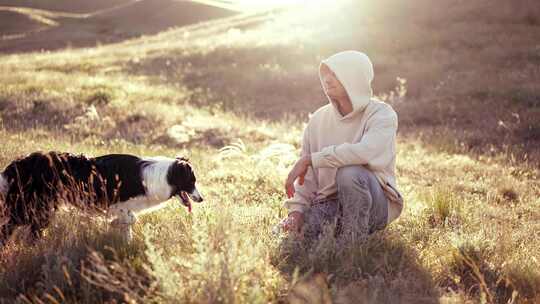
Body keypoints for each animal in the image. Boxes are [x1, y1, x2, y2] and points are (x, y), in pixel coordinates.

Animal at [0, 152, 202, 245]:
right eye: (192, 181)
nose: (202, 199)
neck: (162, 175)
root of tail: (22, 162)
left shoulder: (126, 208)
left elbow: (128, 224)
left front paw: (126, 242)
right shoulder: (120, 204)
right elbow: (129, 220)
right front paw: (118, 230)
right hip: (32, 207)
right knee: (10, 227)